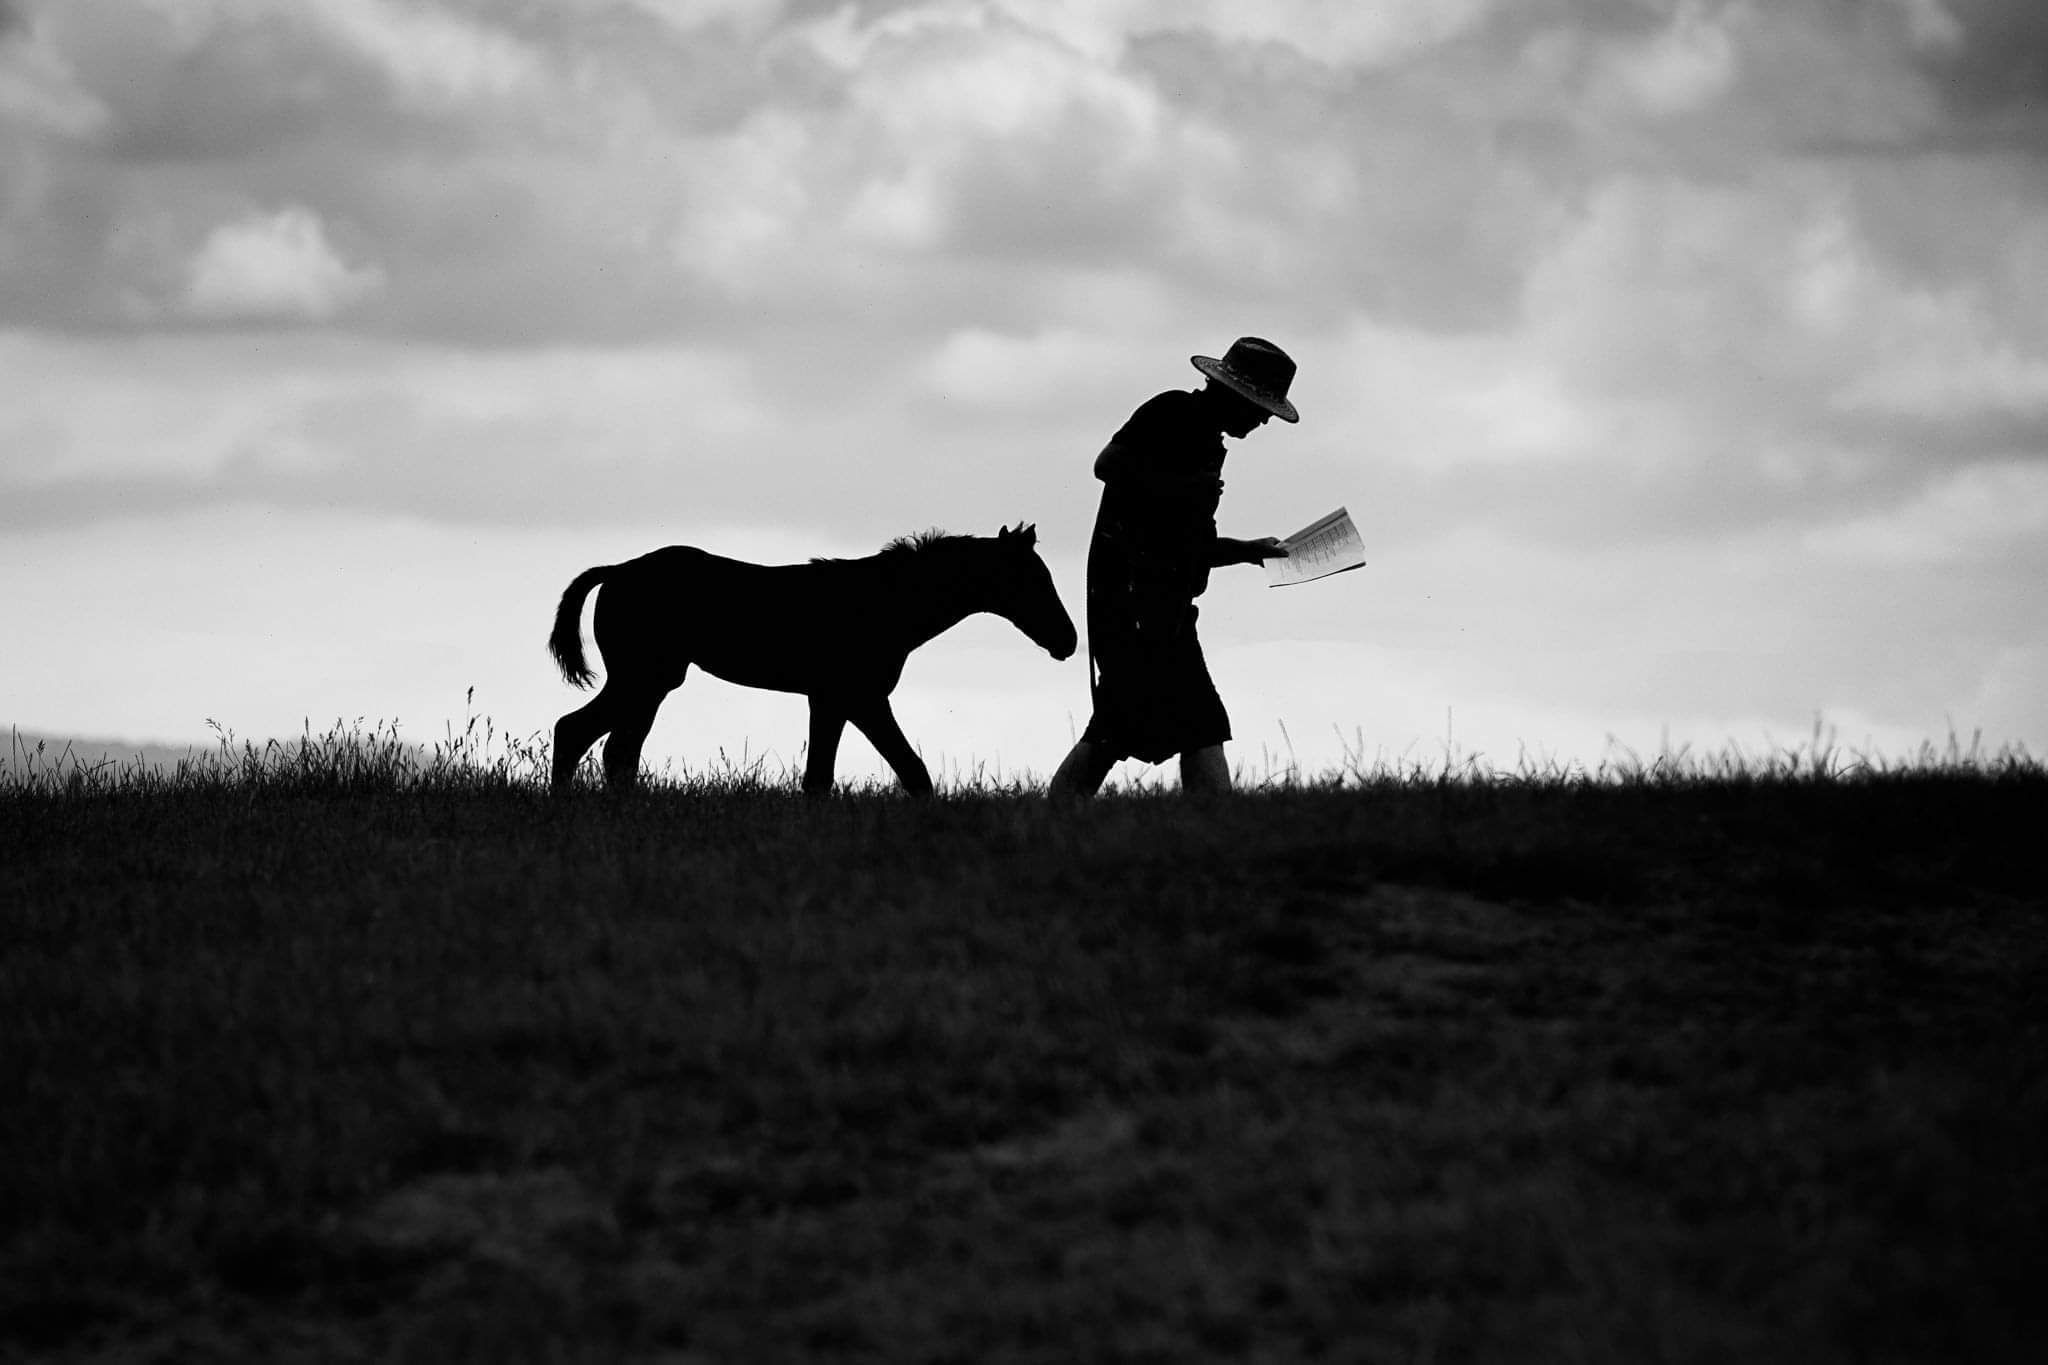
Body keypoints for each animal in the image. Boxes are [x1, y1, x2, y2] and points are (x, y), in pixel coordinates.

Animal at [548, 524, 1077, 795]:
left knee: (616, 749)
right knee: (577, 732)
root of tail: (616, 571)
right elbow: (906, 771)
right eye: (1033, 579)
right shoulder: (859, 698)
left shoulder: (833, 702)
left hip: (651, 684)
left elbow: (829, 776)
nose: (1068, 641)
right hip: (645, 678)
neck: (887, 603)